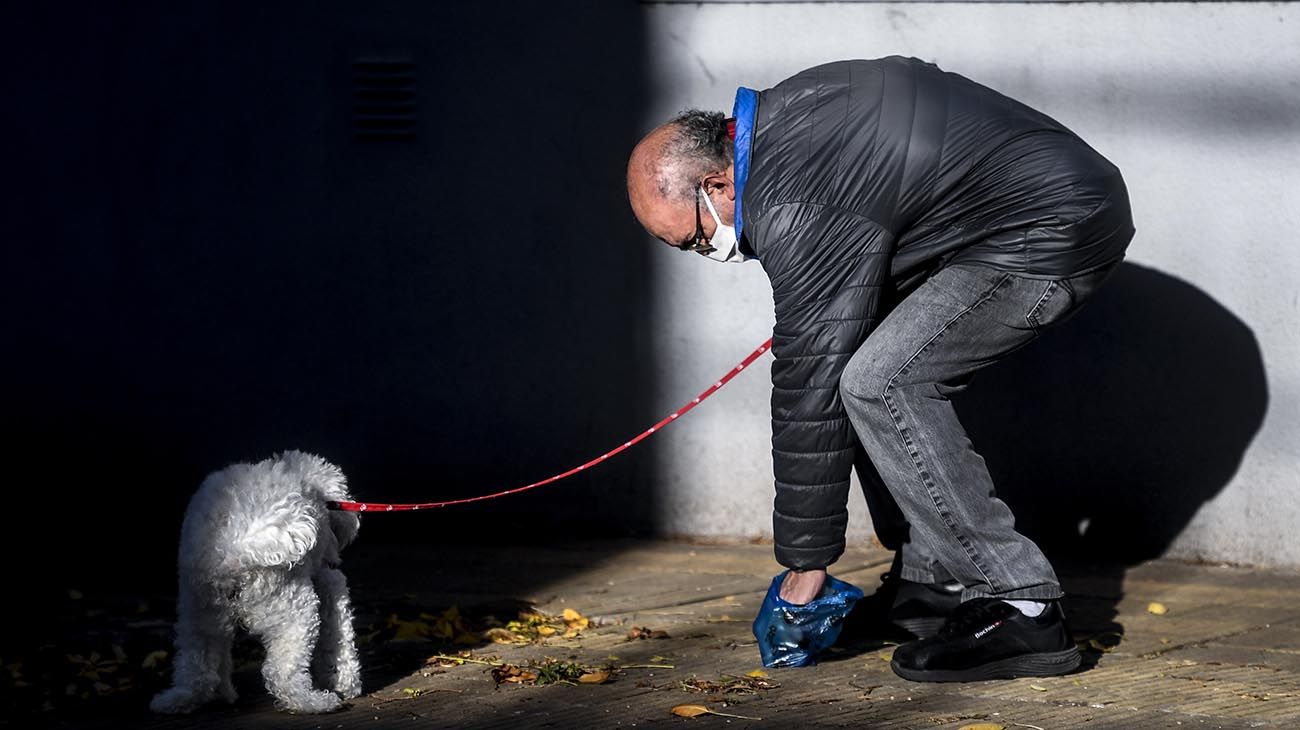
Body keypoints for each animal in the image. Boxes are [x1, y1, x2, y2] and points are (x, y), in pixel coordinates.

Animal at [152, 449, 366, 711]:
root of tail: (233, 552)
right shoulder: (329, 581)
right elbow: (340, 637)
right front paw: (346, 682)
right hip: (295, 609)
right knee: (281, 674)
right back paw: (315, 702)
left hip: (198, 612)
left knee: (198, 670)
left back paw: (182, 699)